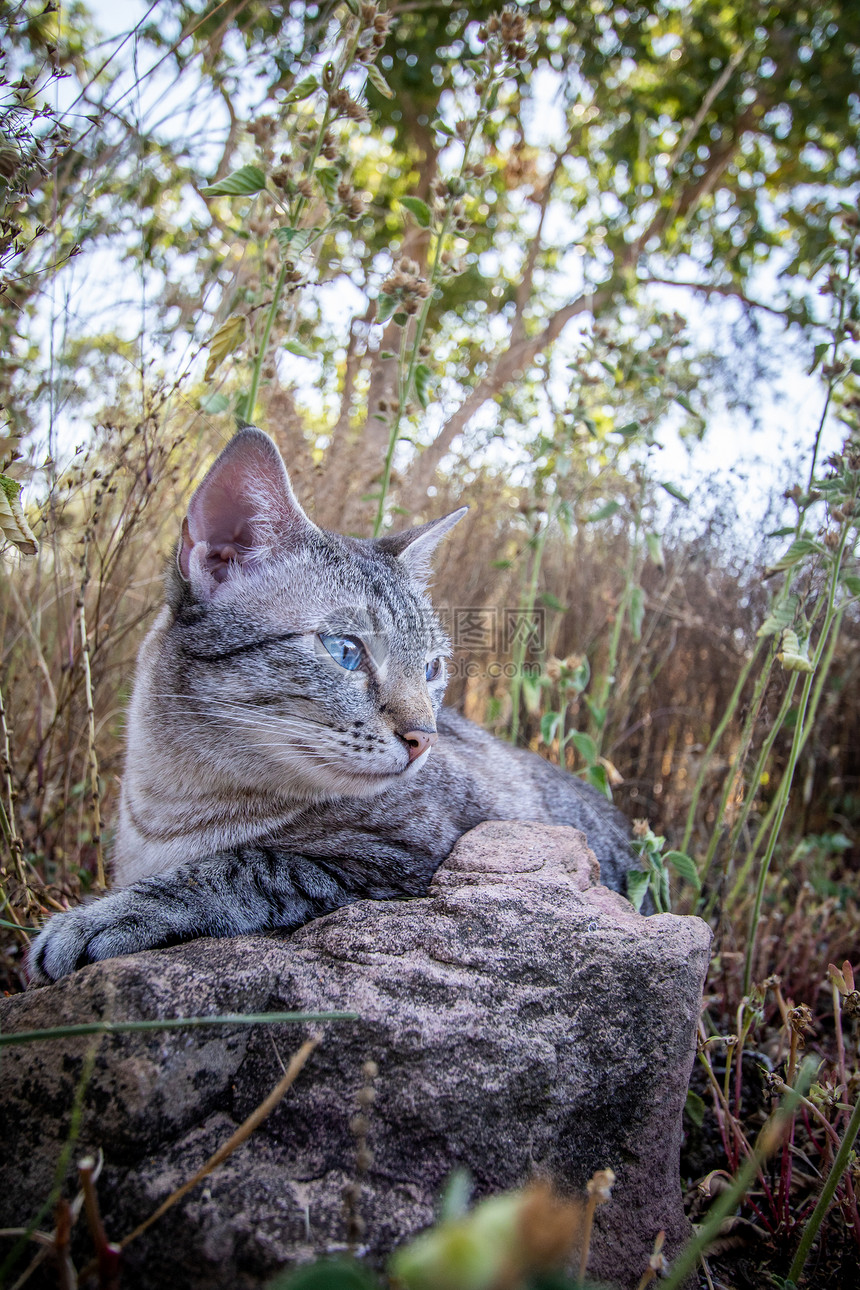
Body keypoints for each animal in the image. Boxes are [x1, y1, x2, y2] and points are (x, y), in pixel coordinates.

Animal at [30, 428, 636, 980]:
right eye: (346, 651)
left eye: (432, 668)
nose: (425, 738)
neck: (167, 802)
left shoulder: (405, 860)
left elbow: (242, 866)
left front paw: (100, 918)